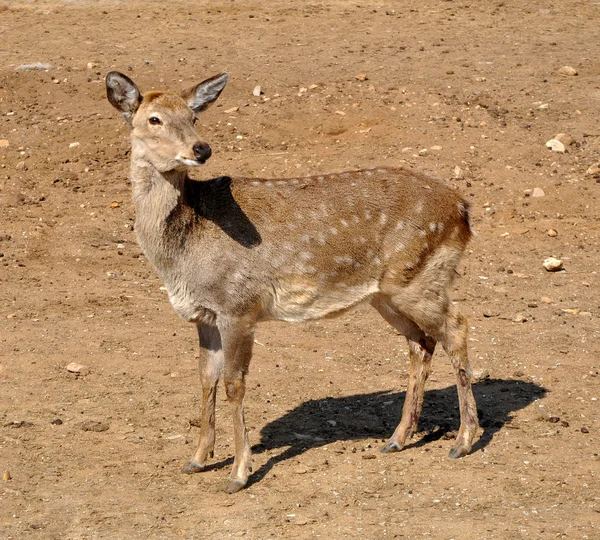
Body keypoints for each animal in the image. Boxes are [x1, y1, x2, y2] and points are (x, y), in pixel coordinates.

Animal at [106, 71, 478, 494]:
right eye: (154, 119)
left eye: (193, 116)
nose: (201, 149)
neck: (182, 252)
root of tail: (464, 210)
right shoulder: (205, 315)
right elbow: (205, 378)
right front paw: (197, 459)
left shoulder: (238, 304)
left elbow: (234, 383)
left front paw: (239, 473)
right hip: (388, 292)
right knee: (421, 342)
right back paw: (398, 438)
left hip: (421, 277)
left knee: (457, 329)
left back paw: (463, 441)